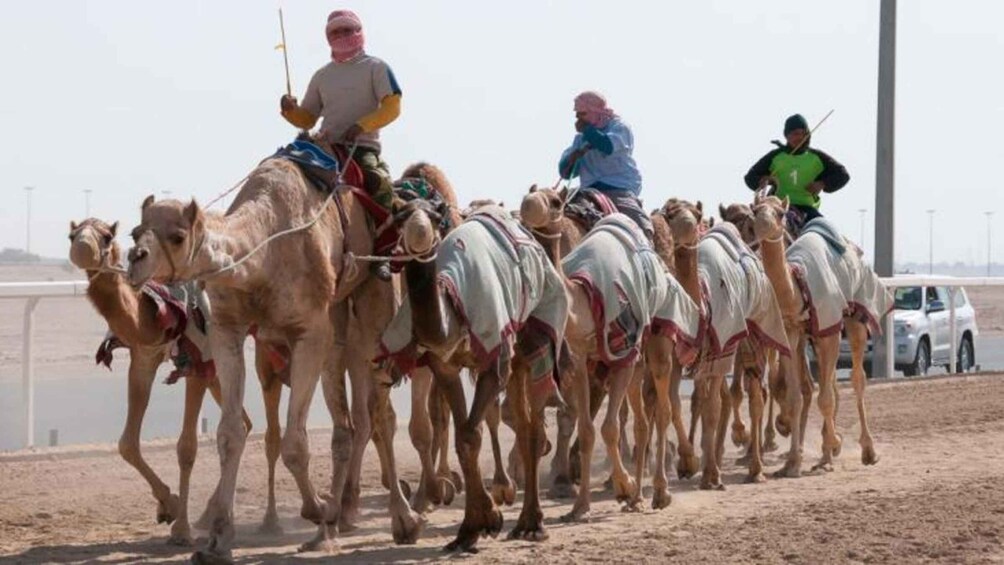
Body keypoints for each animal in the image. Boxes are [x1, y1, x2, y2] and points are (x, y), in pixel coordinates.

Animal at [69, 217, 283, 541]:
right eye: (72, 234)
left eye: (106, 236)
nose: (81, 249)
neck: (153, 312)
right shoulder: (144, 359)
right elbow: (127, 443)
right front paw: (168, 505)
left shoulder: (197, 362)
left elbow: (187, 447)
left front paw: (181, 528)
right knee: (244, 424)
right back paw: (211, 513)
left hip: (263, 346)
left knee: (272, 429)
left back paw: (271, 520)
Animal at [126, 154, 423, 561]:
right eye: (136, 231)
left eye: (178, 236)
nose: (134, 260)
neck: (265, 248)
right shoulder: (227, 328)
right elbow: (230, 433)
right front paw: (218, 539)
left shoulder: (308, 333)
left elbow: (295, 443)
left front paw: (315, 509)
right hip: (338, 325)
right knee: (348, 422)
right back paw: (333, 525)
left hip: (374, 304)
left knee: (380, 417)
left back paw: (402, 520)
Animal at [379, 200, 570, 549]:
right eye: (400, 216)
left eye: (435, 216)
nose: (418, 232)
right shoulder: (445, 367)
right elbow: (464, 437)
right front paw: (473, 527)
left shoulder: (493, 360)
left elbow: (471, 432)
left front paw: (487, 518)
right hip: (515, 361)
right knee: (522, 423)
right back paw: (522, 520)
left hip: (534, 336)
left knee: (535, 428)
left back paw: (533, 523)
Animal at [658, 198, 791, 485]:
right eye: (670, 214)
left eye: (696, 214)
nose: (687, 226)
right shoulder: (682, 354)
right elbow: (680, 403)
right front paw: (688, 461)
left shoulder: (723, 351)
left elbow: (714, 407)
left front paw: (710, 473)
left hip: (752, 339)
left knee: (756, 395)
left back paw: (756, 467)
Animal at [750, 196, 891, 475]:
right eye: (756, 209)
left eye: (780, 213)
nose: (762, 224)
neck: (799, 287)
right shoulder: (793, 332)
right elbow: (795, 396)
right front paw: (792, 462)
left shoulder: (830, 329)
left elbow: (825, 398)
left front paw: (831, 448)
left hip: (854, 318)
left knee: (857, 379)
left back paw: (867, 451)